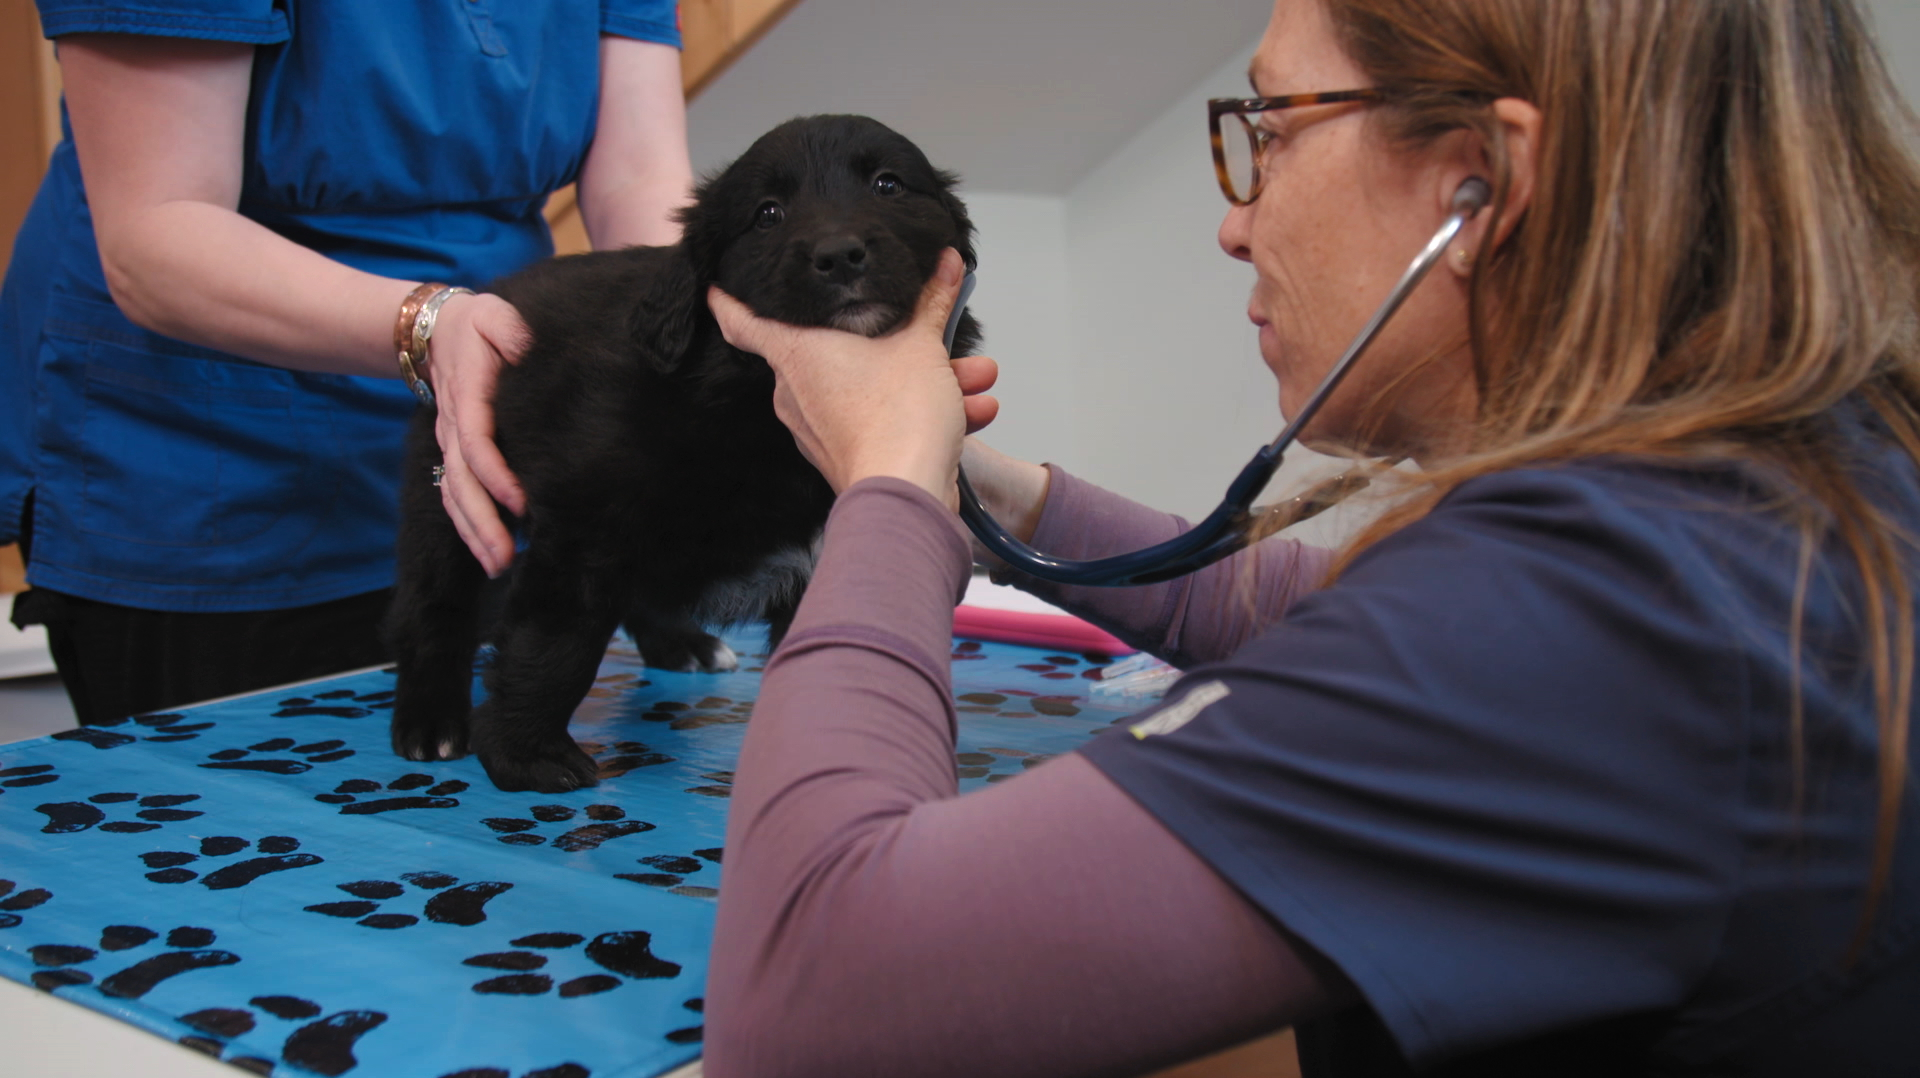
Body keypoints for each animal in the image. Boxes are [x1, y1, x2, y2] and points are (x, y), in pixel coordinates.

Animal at [385, 114, 981, 794]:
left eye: (888, 184)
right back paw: (431, 719)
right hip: (451, 489)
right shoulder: (586, 528)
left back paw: (679, 644)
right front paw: (525, 751)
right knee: (435, 601)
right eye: (768, 214)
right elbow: (556, 640)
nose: (839, 255)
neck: (750, 395)